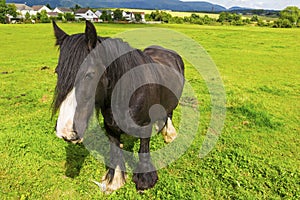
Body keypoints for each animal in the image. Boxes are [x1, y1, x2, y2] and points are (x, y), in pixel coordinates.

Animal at [52, 20, 184, 192]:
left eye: (90, 75)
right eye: (57, 72)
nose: (65, 132)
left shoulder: (144, 126)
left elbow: (143, 150)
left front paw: (145, 181)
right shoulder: (110, 128)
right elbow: (115, 150)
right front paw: (114, 181)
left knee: (169, 113)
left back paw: (169, 134)